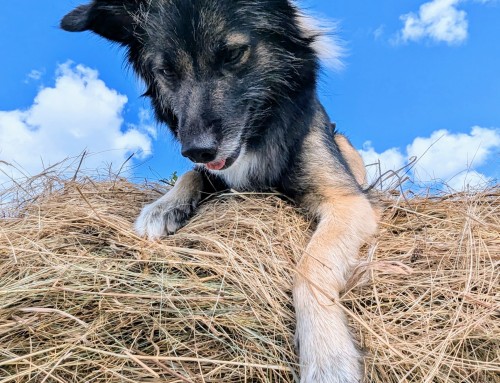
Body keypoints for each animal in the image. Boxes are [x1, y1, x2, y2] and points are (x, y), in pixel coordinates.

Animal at [60, 1, 376, 382]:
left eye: (234, 54)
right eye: (165, 70)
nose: (198, 150)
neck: (258, 133)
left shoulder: (347, 202)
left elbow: (309, 269)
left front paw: (327, 354)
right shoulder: (213, 173)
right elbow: (189, 176)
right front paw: (164, 206)